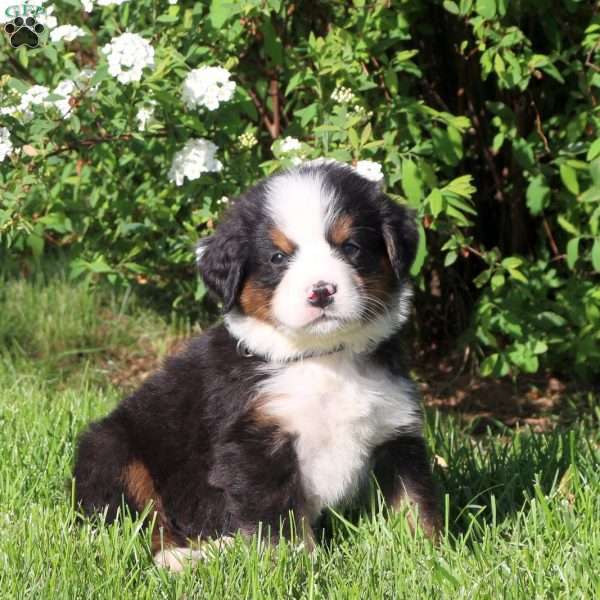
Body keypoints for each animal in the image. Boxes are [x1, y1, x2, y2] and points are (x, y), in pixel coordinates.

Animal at [74, 159, 440, 572]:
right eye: (278, 257)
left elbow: (413, 504)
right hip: (114, 451)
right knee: (137, 519)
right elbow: (281, 521)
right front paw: (299, 569)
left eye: (351, 247)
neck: (323, 358)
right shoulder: (254, 443)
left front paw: (427, 559)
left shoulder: (394, 430)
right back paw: (180, 557)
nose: (321, 291)